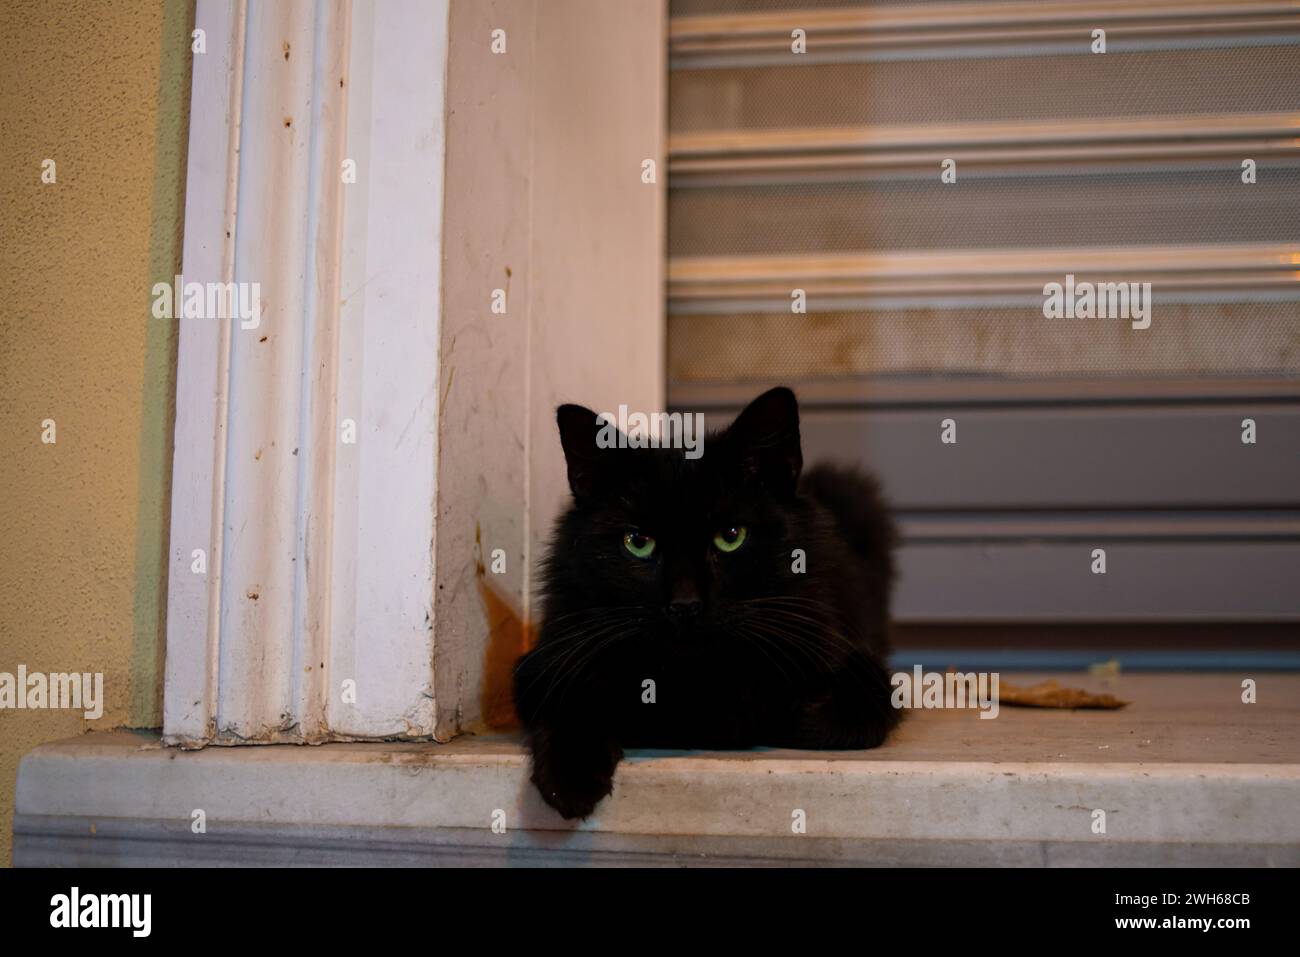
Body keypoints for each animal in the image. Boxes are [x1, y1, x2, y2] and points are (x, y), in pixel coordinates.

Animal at [512, 384, 899, 816]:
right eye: (638, 542)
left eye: (731, 536)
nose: (685, 604)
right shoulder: (543, 664)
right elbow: (569, 702)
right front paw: (571, 779)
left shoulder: (854, 659)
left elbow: (848, 716)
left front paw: (793, 718)